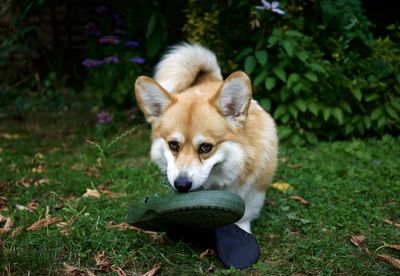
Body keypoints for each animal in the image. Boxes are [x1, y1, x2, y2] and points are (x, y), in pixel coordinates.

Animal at [135, 44, 278, 233]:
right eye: (173, 145)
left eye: (206, 147)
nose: (181, 185)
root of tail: (211, 81)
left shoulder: (254, 191)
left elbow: (244, 217)